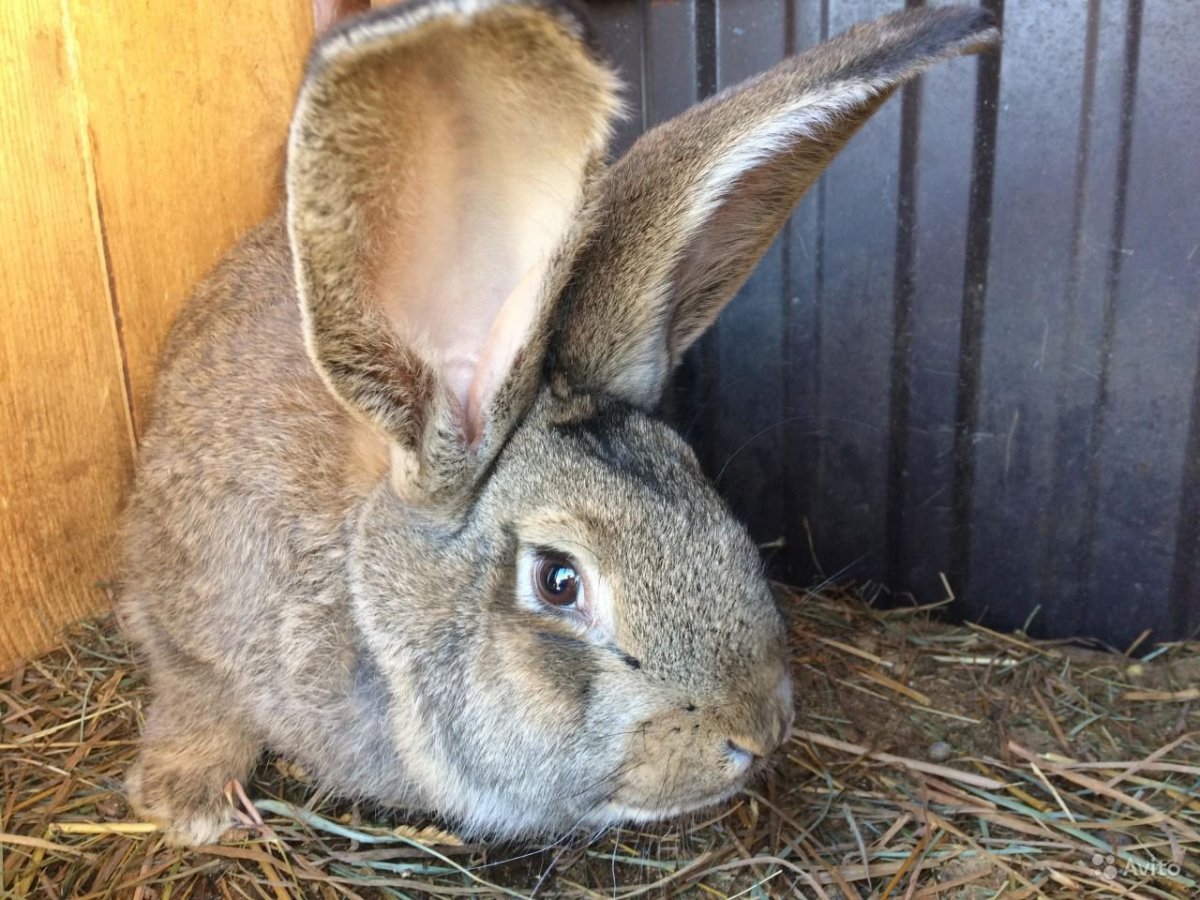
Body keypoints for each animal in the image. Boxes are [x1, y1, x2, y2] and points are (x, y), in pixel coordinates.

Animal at [119, 0, 998, 847]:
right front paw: (185, 804)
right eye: (558, 580)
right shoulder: (187, 623)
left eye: (698, 483)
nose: (758, 730)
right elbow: (194, 692)